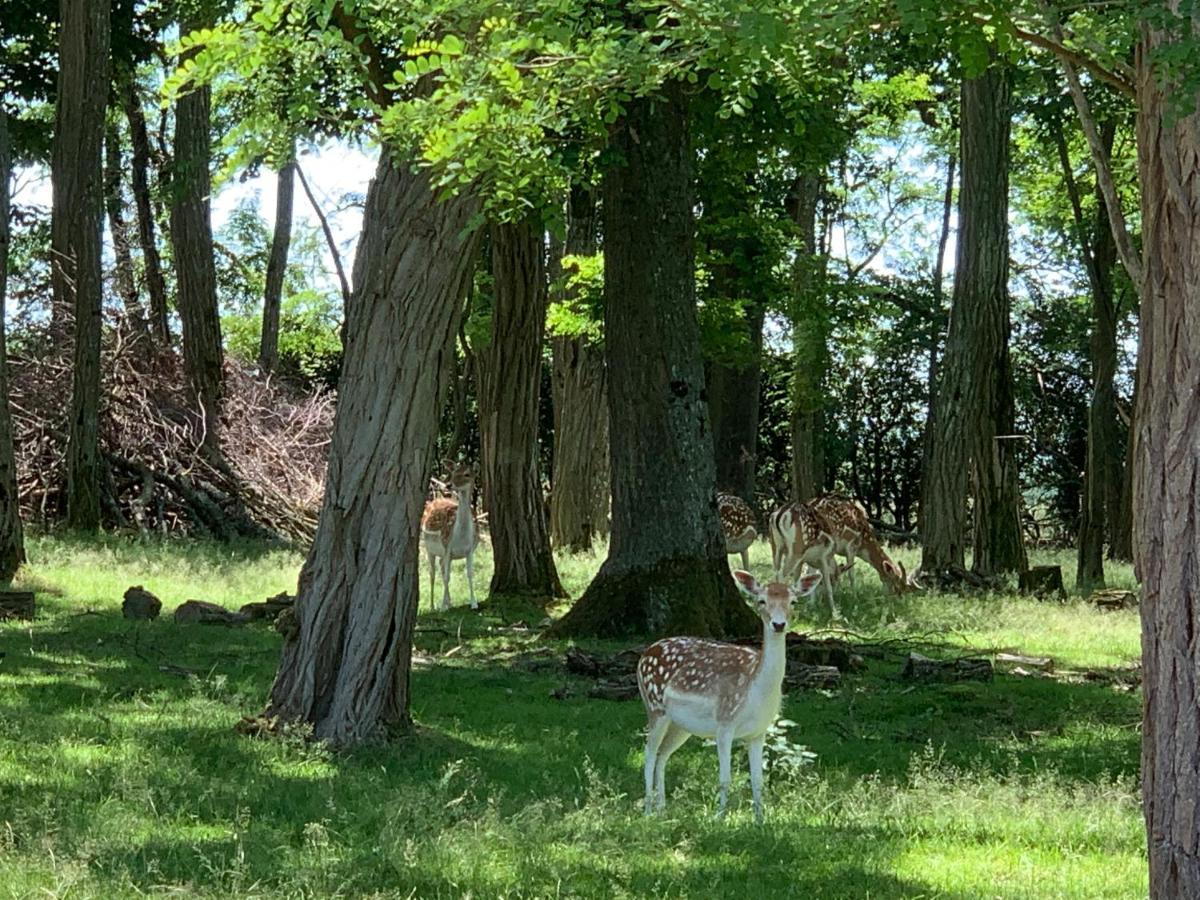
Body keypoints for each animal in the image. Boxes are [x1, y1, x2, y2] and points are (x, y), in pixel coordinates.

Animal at [420, 465, 480, 614]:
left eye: (467, 474)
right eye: (453, 472)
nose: (448, 485)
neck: (461, 538)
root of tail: (435, 499)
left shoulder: (470, 550)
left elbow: (470, 574)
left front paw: (474, 603)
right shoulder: (447, 547)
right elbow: (447, 577)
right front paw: (442, 607)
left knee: (441, 567)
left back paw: (450, 602)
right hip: (428, 548)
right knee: (432, 573)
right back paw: (432, 606)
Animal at [638, 571, 825, 825]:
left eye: (793, 601)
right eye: (761, 600)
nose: (778, 624)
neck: (756, 691)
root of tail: (644, 654)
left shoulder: (759, 732)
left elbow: (758, 781)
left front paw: (760, 821)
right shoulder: (724, 723)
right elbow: (724, 778)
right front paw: (718, 819)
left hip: (681, 725)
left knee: (662, 755)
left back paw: (663, 809)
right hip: (654, 706)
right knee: (648, 753)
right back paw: (648, 811)